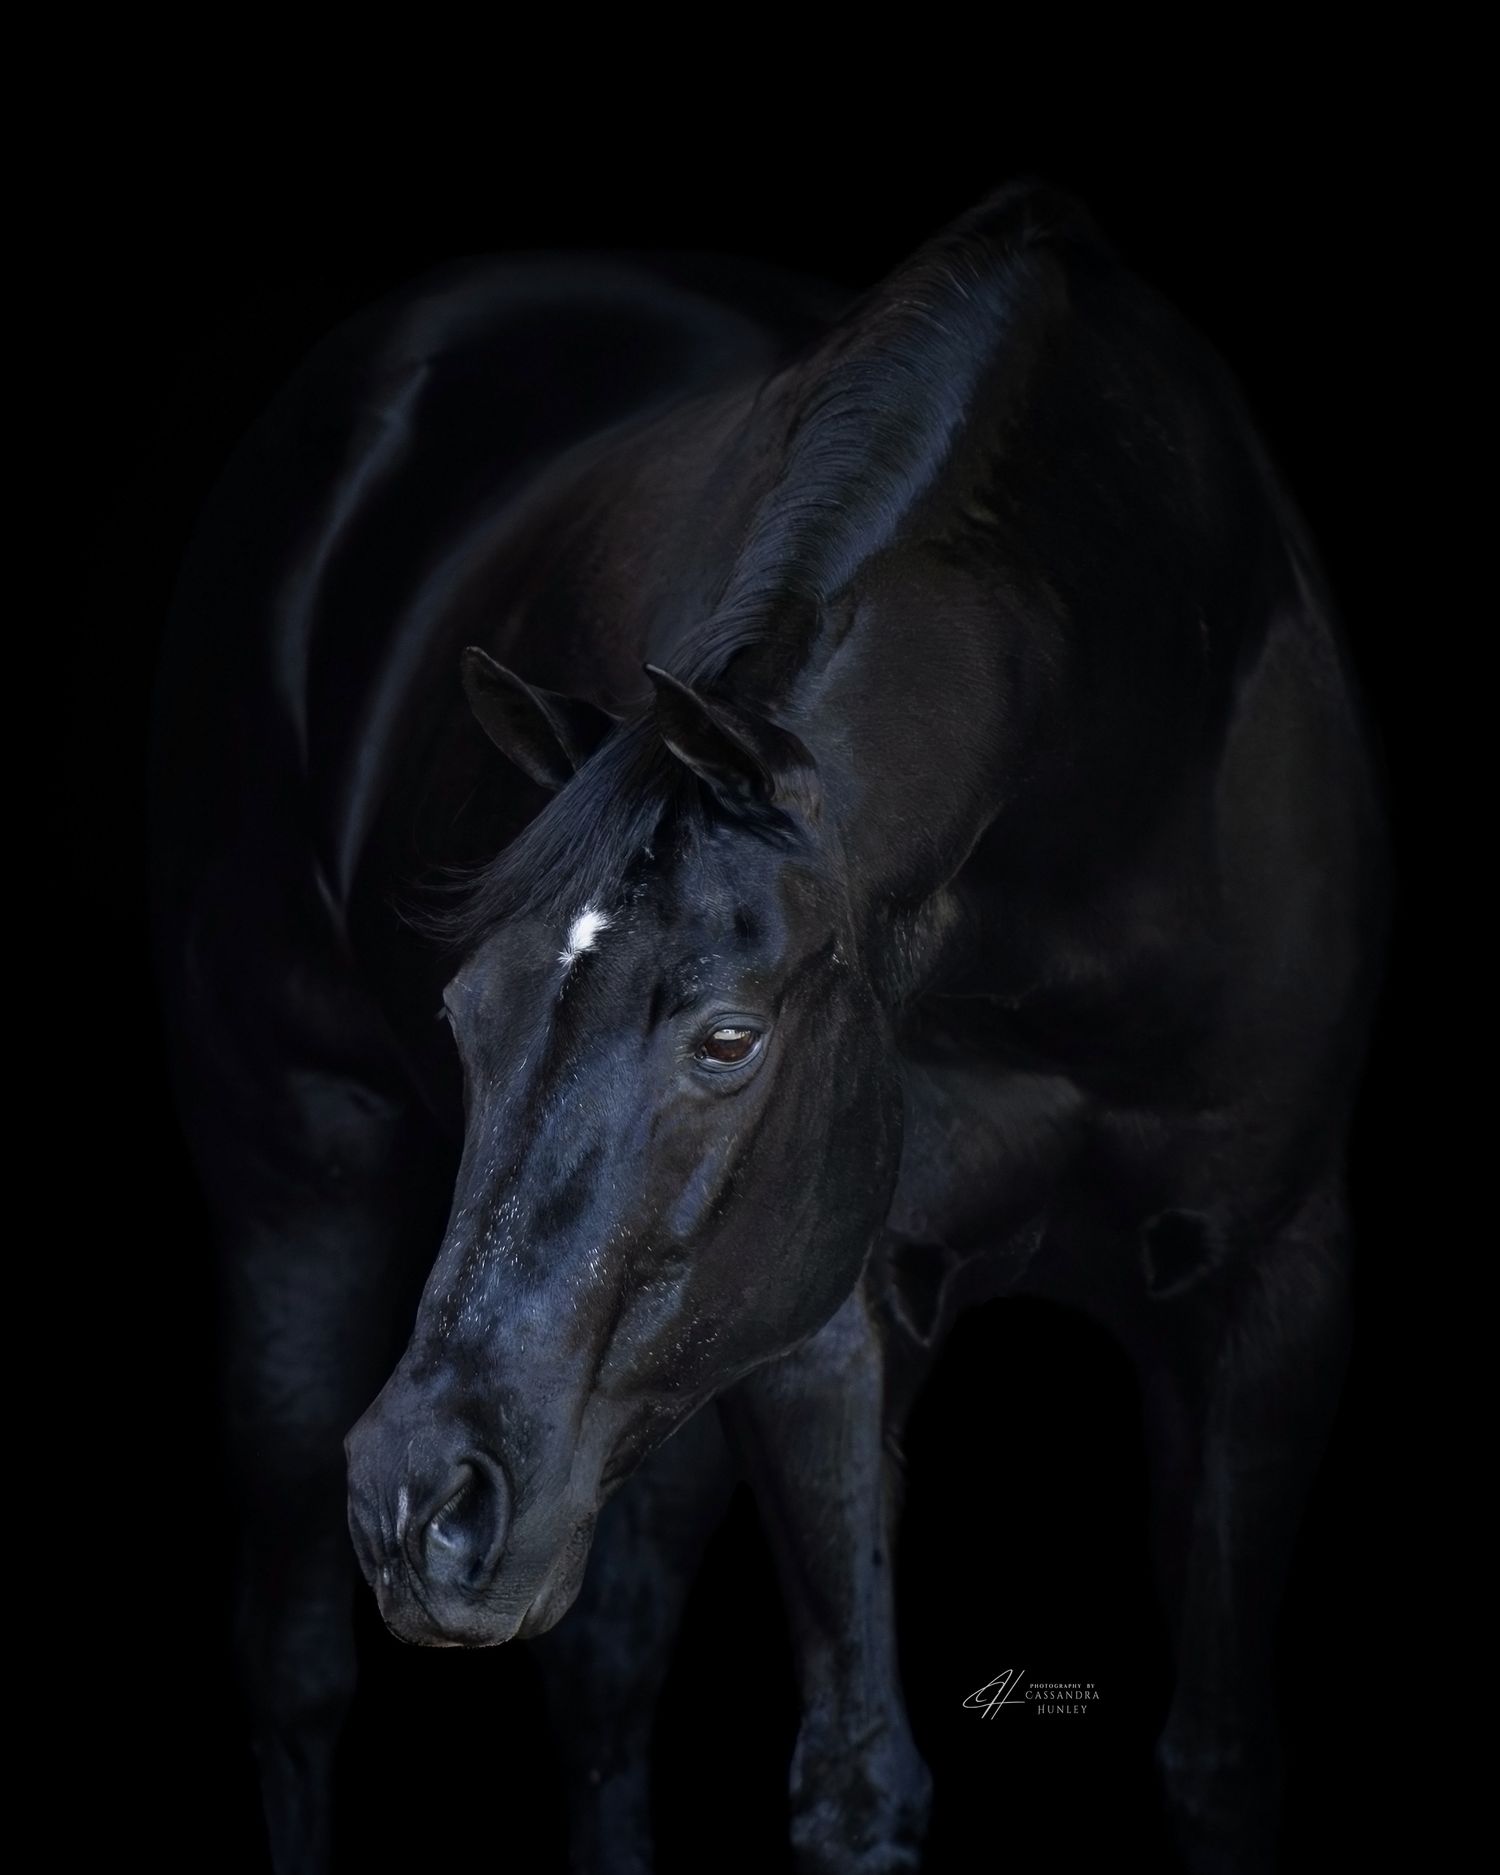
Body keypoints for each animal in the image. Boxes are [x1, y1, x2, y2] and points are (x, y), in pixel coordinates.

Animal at [150, 180, 1388, 1874]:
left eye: (728, 1039)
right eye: (465, 1015)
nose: (420, 1504)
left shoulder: (1273, 1289)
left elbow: (1218, 1756)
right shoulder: (825, 1322)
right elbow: (859, 1771)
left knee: (603, 1673)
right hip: (303, 1188)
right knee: (295, 1669)